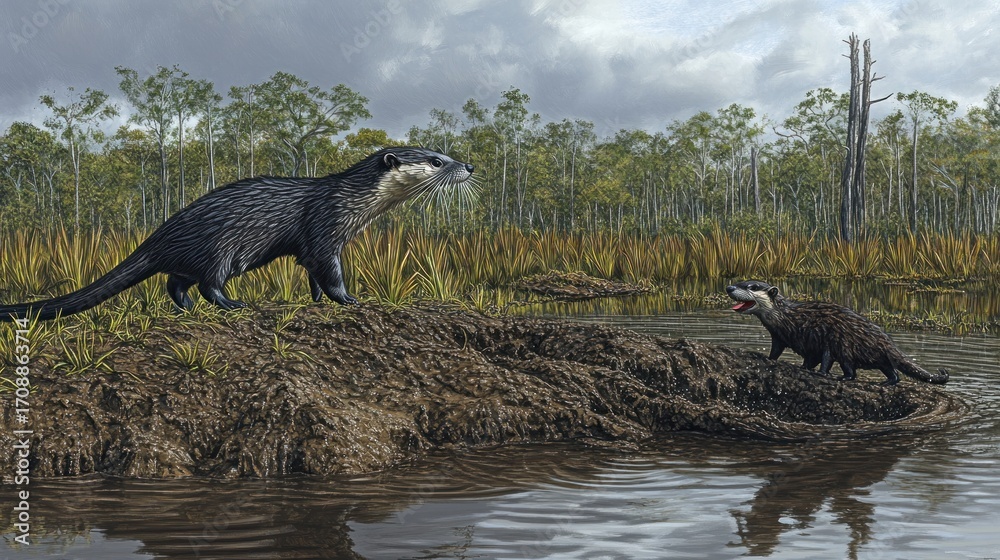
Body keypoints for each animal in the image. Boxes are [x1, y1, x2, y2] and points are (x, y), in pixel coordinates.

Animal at [0, 147, 475, 321]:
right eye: (435, 160)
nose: (468, 165)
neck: (351, 202)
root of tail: (163, 232)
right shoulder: (325, 229)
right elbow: (330, 273)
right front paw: (350, 300)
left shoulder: (316, 246)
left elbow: (312, 274)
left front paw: (317, 301)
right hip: (220, 249)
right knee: (208, 282)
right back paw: (231, 304)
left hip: (194, 256)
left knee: (174, 282)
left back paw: (188, 308)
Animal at [726, 280, 948, 385]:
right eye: (740, 281)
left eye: (752, 286)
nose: (729, 287)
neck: (788, 319)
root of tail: (884, 340)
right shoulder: (781, 337)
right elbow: (782, 353)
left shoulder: (815, 338)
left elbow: (821, 359)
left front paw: (819, 372)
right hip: (875, 355)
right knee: (892, 371)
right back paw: (887, 382)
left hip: (844, 344)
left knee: (851, 370)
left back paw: (842, 377)